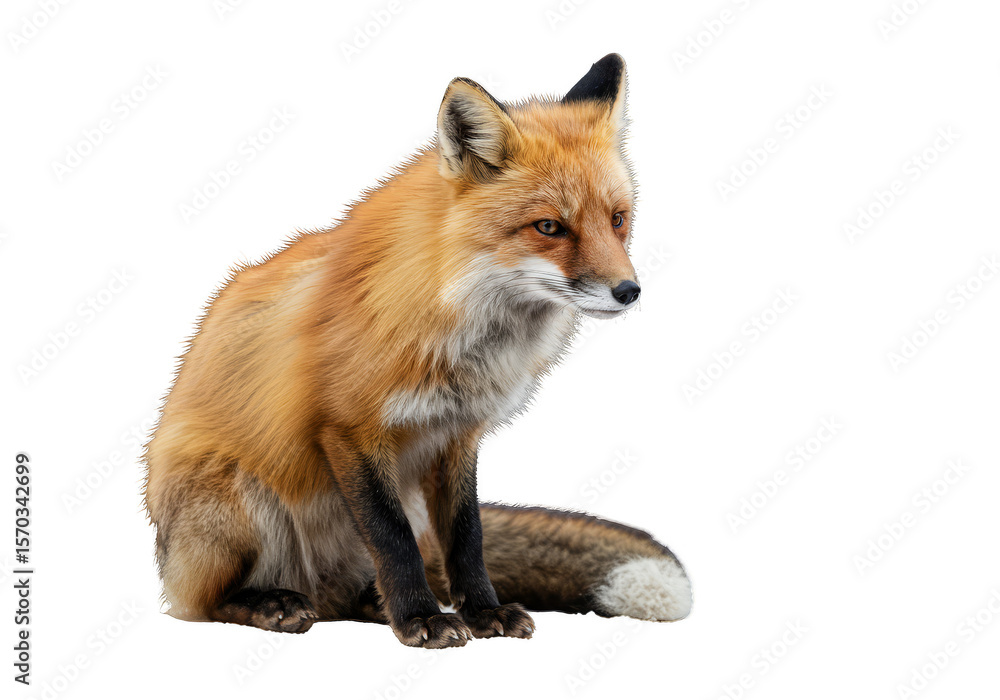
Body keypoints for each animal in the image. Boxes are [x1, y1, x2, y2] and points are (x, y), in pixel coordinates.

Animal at [143, 54, 691, 648]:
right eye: (549, 227)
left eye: (617, 219)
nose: (629, 291)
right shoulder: (349, 430)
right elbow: (394, 541)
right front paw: (422, 619)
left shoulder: (457, 434)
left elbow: (467, 538)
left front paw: (481, 612)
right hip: (237, 500)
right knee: (202, 604)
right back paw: (272, 603)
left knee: (356, 590)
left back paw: (370, 603)